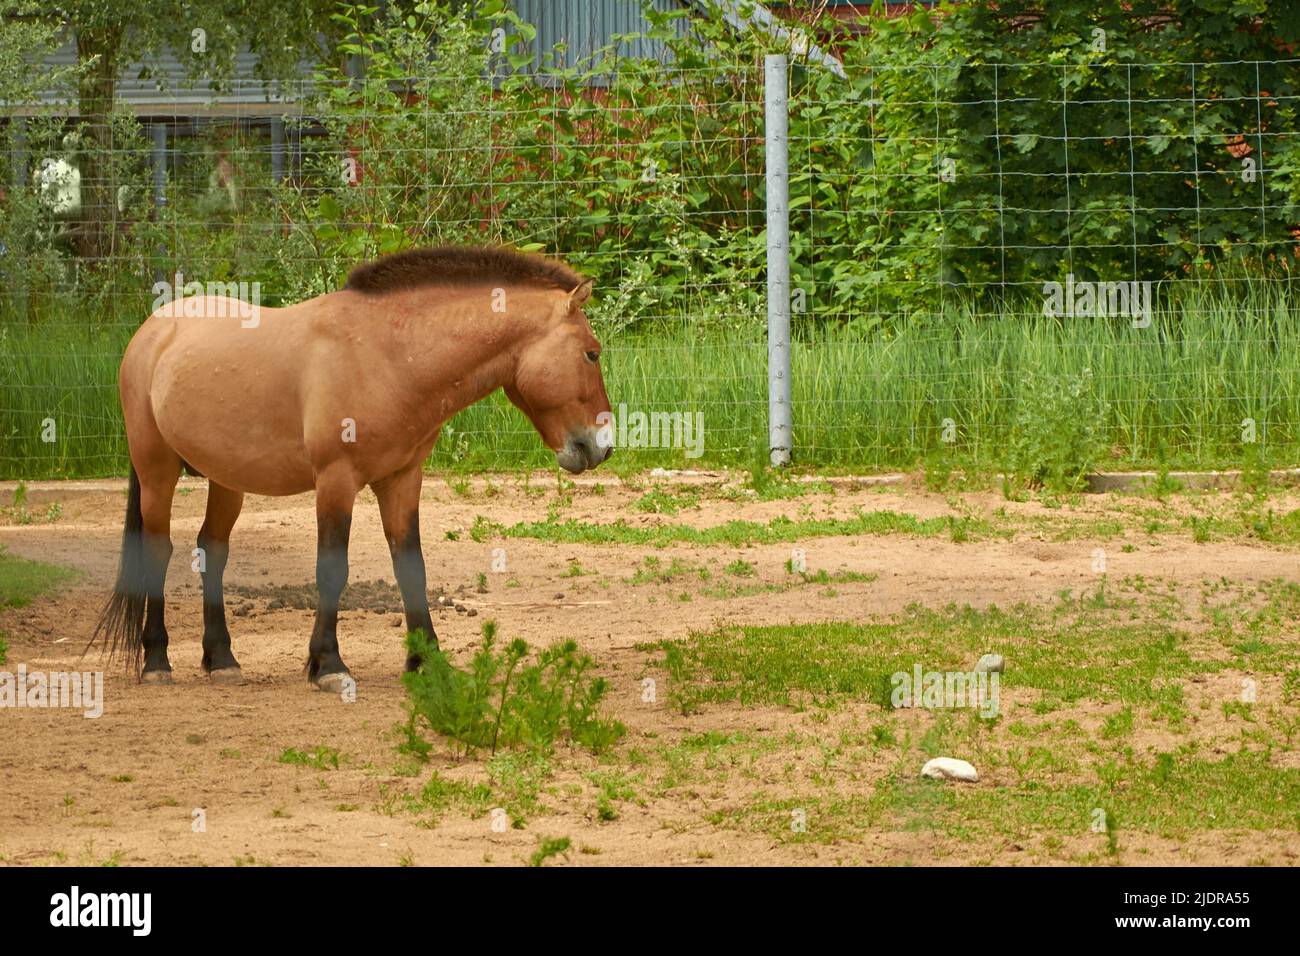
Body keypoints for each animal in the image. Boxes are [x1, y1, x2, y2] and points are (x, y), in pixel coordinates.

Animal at [94, 247, 611, 691]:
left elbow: (411, 568)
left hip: (226, 480)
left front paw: (428, 660)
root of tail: (152, 332)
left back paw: (221, 659)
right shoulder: (336, 481)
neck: (388, 354)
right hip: (157, 471)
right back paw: (157, 661)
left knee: (212, 551)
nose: (600, 446)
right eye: (592, 352)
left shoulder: (401, 480)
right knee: (156, 553)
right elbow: (332, 569)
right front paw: (328, 665)